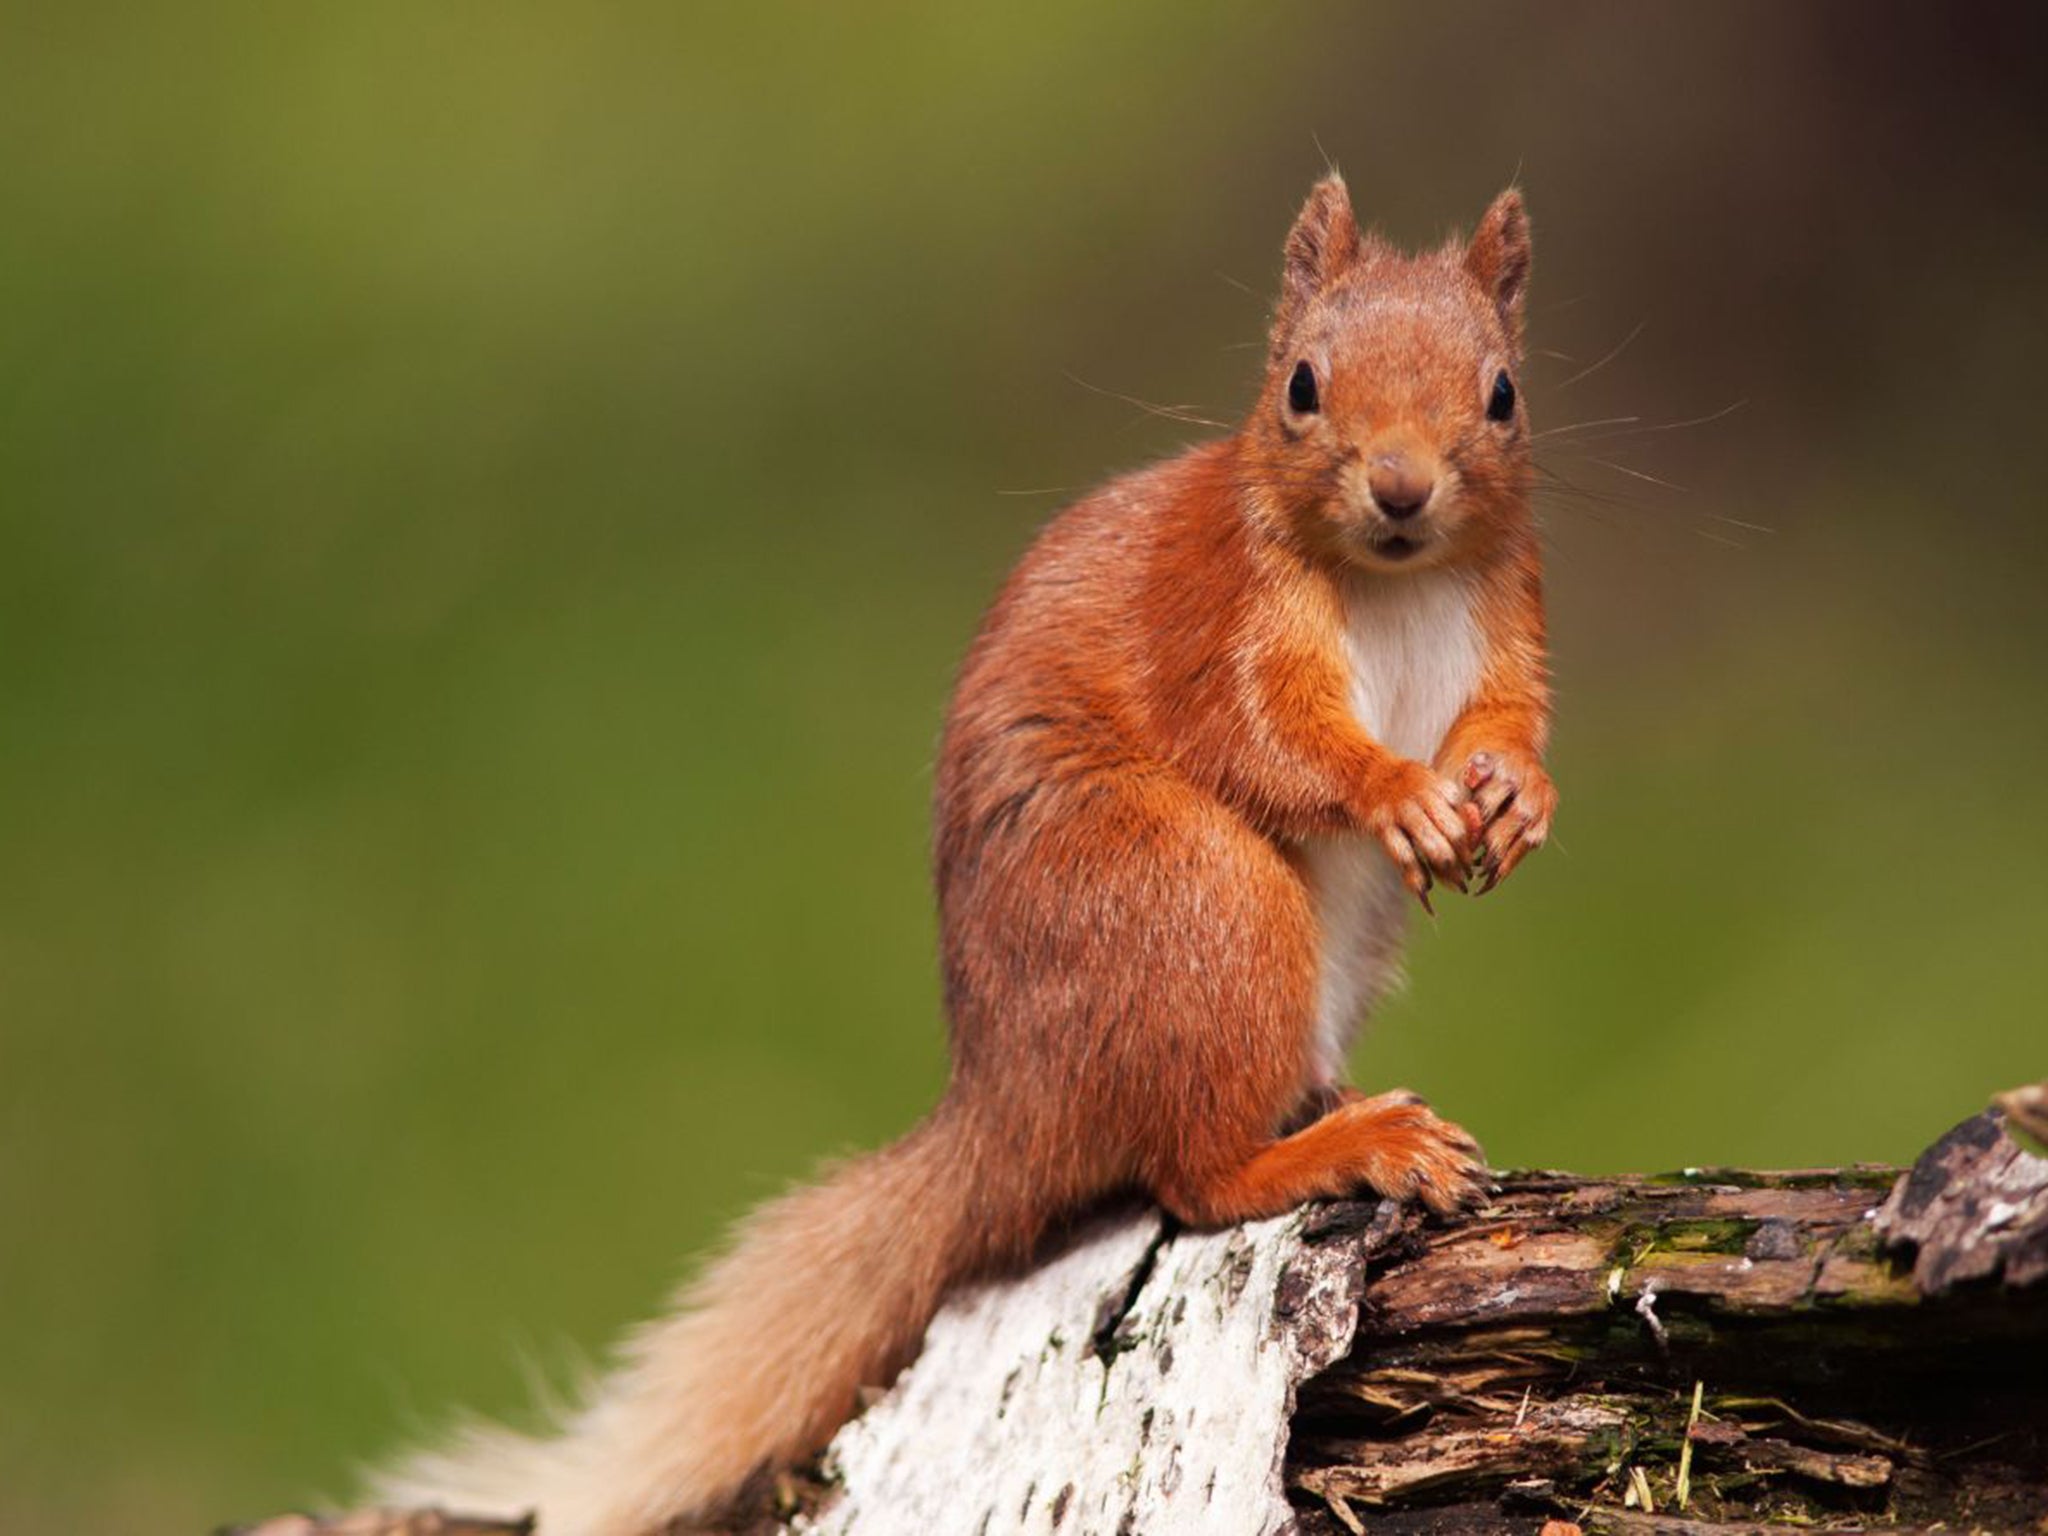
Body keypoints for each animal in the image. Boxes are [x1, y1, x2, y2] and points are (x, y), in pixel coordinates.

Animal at [376, 177, 1548, 1536]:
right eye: (1300, 384)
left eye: (1501, 393)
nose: (1401, 488)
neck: (1392, 582)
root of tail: (1007, 1101)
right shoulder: (1217, 618)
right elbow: (1270, 741)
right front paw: (1397, 792)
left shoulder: (1507, 613)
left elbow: (1511, 721)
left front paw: (1516, 800)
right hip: (1194, 896)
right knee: (1192, 1175)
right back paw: (1339, 1146)